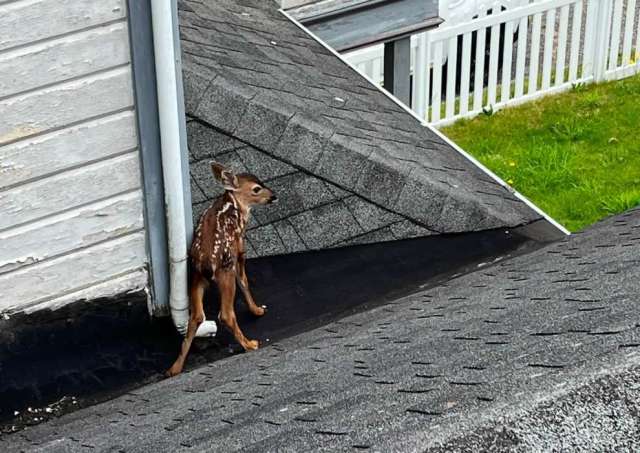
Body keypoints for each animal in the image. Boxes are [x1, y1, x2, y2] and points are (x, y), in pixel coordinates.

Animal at [166, 162, 277, 377]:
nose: (274, 195)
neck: (234, 206)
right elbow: (244, 280)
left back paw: (174, 368)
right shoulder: (239, 249)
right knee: (225, 314)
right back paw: (250, 344)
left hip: (197, 277)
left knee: (196, 317)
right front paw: (257, 310)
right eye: (256, 189)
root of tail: (206, 264)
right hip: (224, 271)